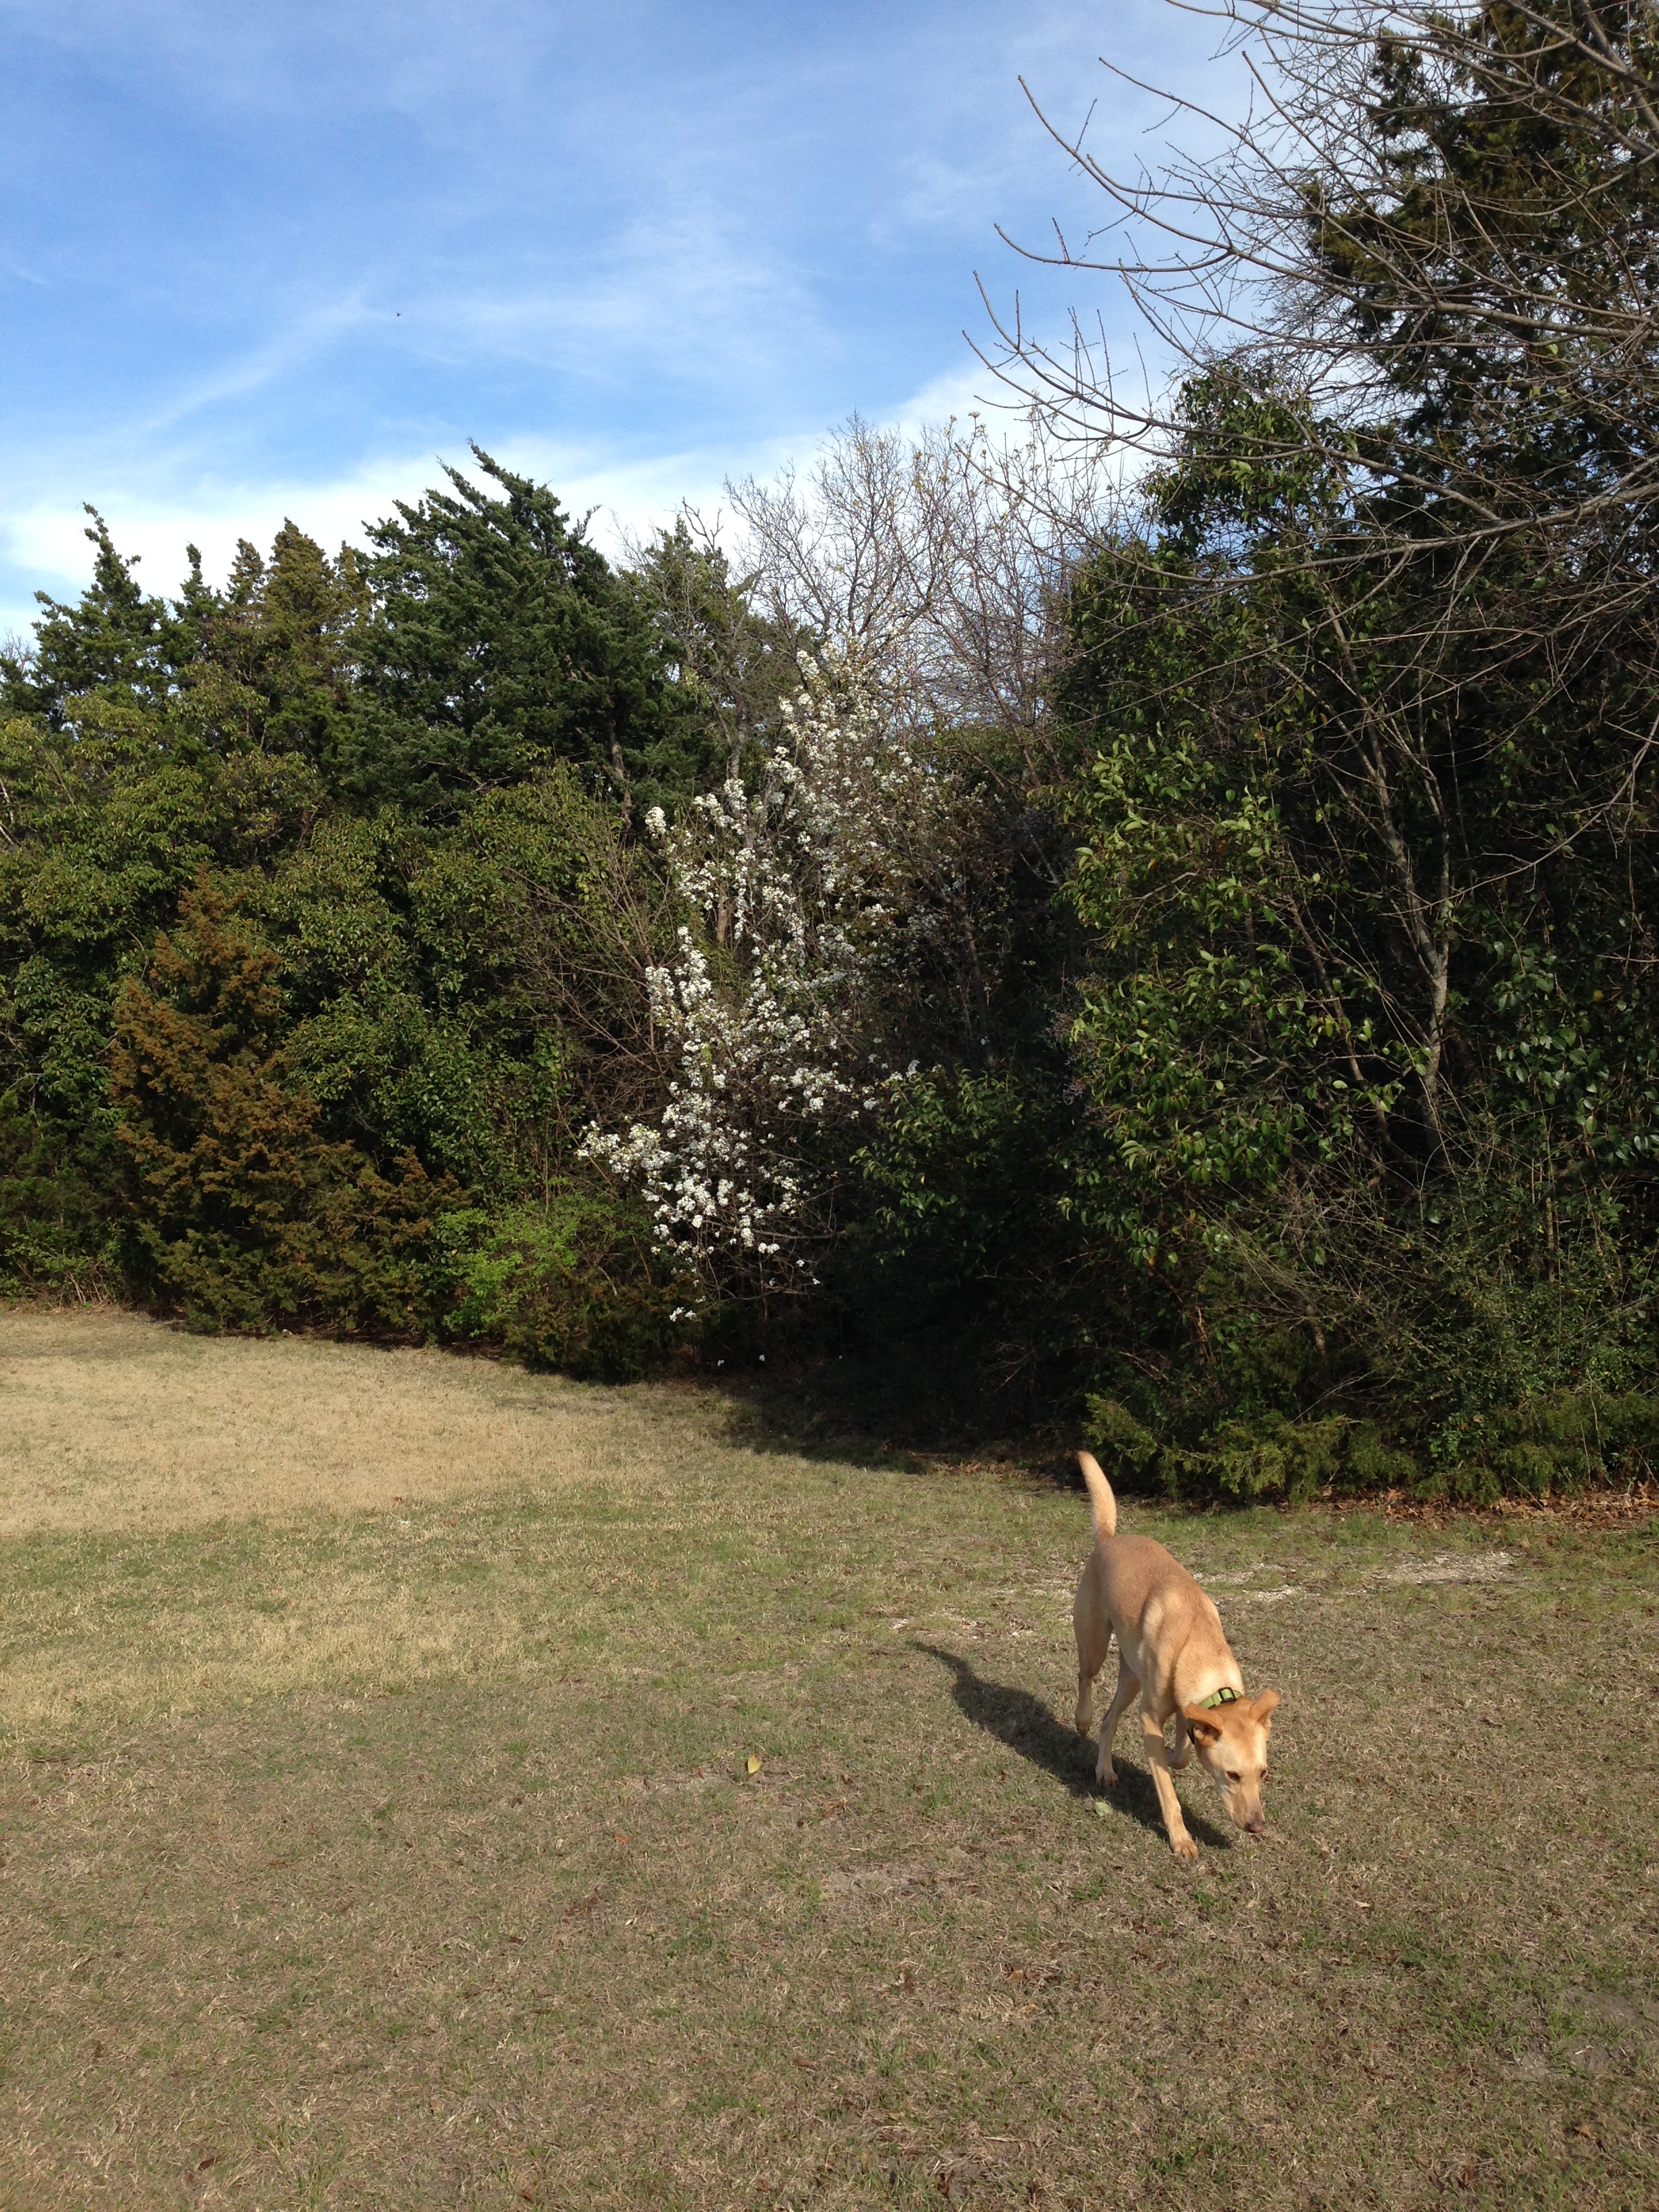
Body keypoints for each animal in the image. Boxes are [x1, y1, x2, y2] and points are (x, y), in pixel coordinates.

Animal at [1072, 1449, 1280, 1861]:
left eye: (1263, 1773)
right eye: (1233, 1775)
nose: (1257, 1826)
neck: (1198, 1645)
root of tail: (1109, 1538)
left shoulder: (1191, 1707)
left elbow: (1184, 1749)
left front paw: (1174, 1755)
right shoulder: (1150, 1719)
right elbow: (1168, 1791)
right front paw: (1181, 1839)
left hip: (1132, 1679)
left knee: (1109, 1719)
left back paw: (1105, 1769)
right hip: (1095, 1645)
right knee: (1086, 1680)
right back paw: (1082, 1718)